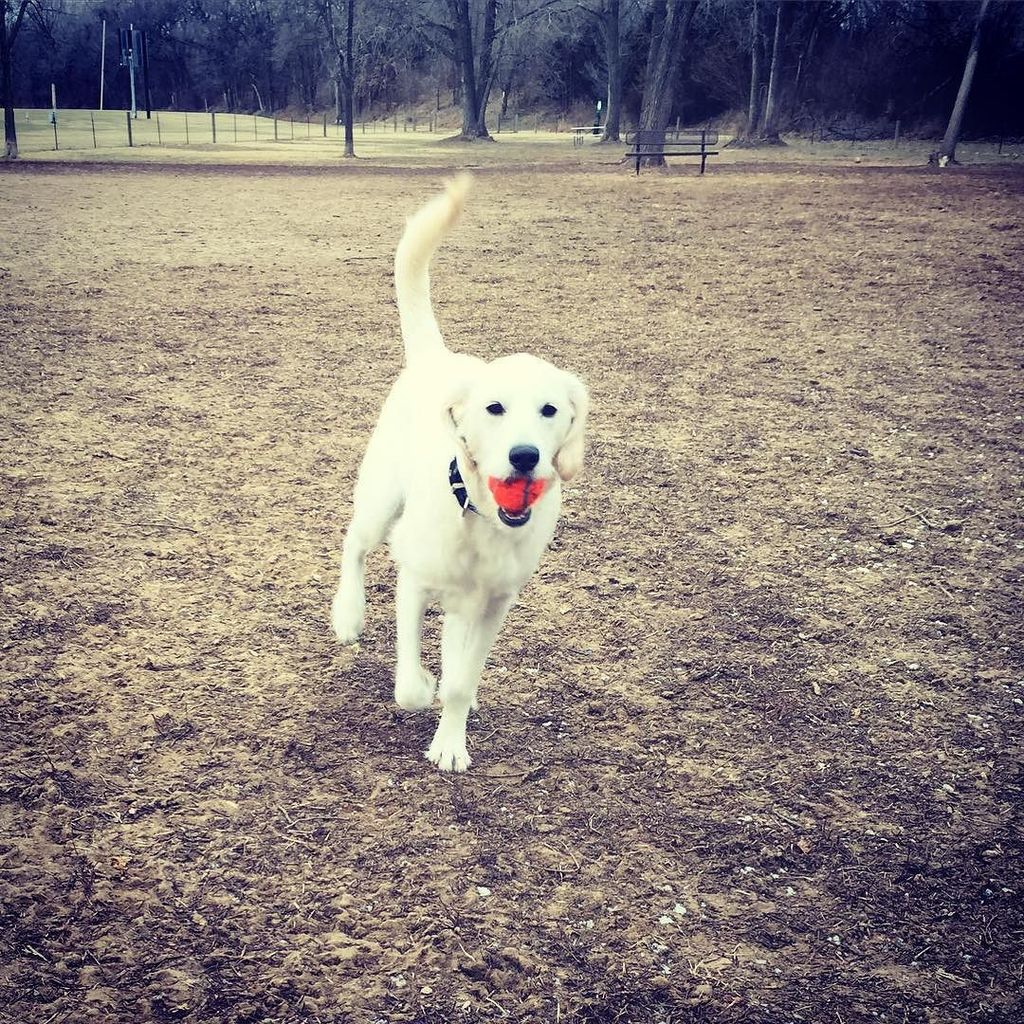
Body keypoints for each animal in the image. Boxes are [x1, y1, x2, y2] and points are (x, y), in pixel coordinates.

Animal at [331, 176, 589, 770]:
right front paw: (421, 687)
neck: (477, 516)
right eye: (494, 408)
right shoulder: (413, 582)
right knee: (354, 545)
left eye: (550, 410)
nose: (525, 457)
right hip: (380, 503)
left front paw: (451, 738)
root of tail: (437, 358)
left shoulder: (494, 606)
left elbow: (462, 680)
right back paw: (348, 615)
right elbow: (409, 684)